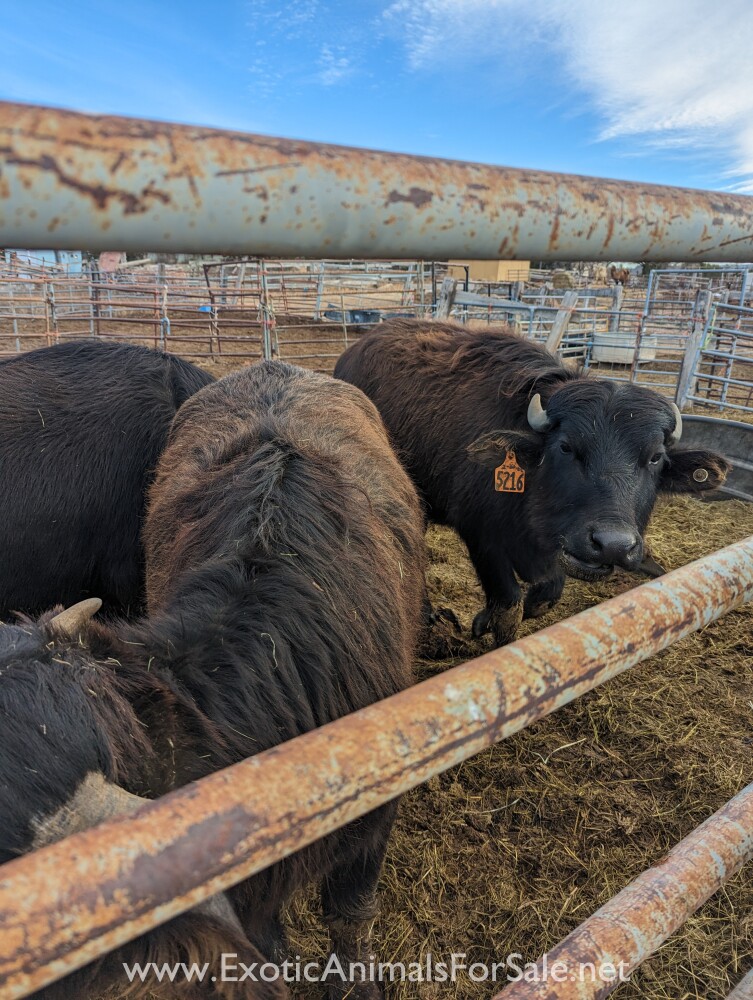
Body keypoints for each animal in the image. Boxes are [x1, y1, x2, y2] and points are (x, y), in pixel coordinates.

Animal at [334, 319, 731, 647]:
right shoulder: (482, 536)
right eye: (567, 447)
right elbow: (510, 608)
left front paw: (487, 618)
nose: (612, 545)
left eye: (654, 457)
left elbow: (545, 595)